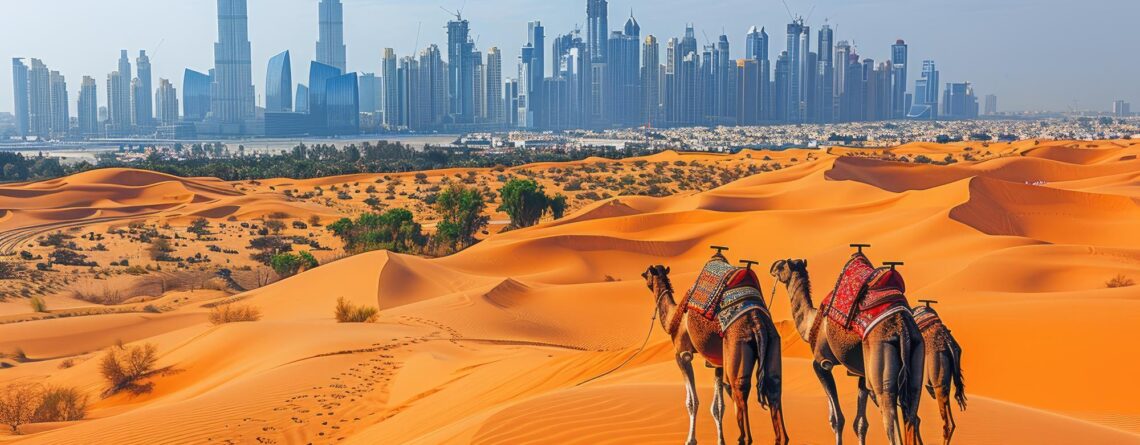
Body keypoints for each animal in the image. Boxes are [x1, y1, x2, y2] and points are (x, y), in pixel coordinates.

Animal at [638, 265, 788, 442]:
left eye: (647, 273)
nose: (643, 275)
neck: (673, 317)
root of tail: (757, 321)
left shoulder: (683, 354)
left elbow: (692, 402)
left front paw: (690, 440)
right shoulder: (717, 363)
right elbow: (718, 406)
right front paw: (721, 440)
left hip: (737, 345)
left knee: (739, 390)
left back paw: (743, 437)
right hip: (773, 340)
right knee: (773, 388)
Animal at [766, 256, 925, 445]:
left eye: (782, 265)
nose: (772, 266)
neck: (810, 324)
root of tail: (903, 328)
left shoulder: (821, 363)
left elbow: (837, 420)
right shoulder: (862, 374)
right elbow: (860, 423)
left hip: (881, 365)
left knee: (891, 418)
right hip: (916, 355)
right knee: (912, 414)